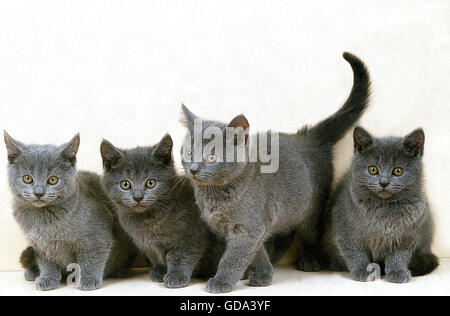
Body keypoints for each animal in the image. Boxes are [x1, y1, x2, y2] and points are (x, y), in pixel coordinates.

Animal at [4, 131, 137, 292]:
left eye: (53, 180)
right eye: (27, 178)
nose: (39, 192)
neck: (44, 219)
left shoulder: (97, 234)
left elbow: (91, 257)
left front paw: (88, 279)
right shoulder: (40, 245)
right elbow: (47, 262)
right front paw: (47, 278)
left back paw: (121, 271)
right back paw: (33, 272)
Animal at [181, 52, 370, 294]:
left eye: (212, 158)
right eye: (188, 153)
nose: (193, 169)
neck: (216, 195)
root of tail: (309, 136)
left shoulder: (248, 228)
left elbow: (233, 257)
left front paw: (222, 281)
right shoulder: (251, 227)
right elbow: (256, 251)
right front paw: (263, 274)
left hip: (312, 205)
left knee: (309, 231)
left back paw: (309, 261)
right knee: (284, 232)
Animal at [320, 127, 440, 282]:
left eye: (398, 171)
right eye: (373, 169)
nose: (384, 182)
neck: (383, 208)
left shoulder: (407, 235)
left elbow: (398, 255)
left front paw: (397, 272)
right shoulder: (346, 229)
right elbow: (355, 252)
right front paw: (363, 271)